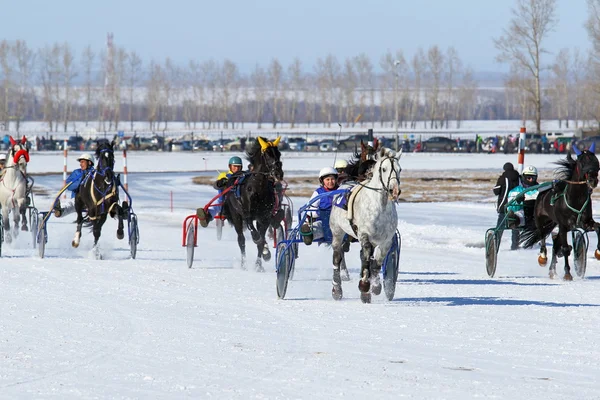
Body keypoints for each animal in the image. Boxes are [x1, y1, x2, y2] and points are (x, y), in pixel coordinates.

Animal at [221, 136, 284, 270]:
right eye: (267, 154)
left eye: (279, 154)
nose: (278, 173)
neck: (258, 188)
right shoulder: (247, 214)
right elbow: (256, 235)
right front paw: (259, 242)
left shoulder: (264, 217)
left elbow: (261, 241)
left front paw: (259, 264)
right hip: (236, 215)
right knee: (241, 240)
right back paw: (243, 264)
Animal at [328, 148, 404, 304]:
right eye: (384, 169)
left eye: (400, 169)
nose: (395, 191)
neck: (380, 206)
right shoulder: (364, 235)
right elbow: (367, 256)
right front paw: (364, 286)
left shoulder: (386, 240)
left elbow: (377, 262)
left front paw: (374, 286)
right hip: (337, 232)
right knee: (337, 256)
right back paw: (336, 289)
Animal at [520, 143, 600, 278]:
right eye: (582, 162)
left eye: (596, 160)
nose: (593, 180)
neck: (576, 198)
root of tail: (542, 192)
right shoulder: (563, 225)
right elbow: (565, 249)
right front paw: (567, 274)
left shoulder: (585, 222)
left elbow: (598, 227)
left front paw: (598, 252)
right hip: (541, 221)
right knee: (543, 238)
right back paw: (543, 258)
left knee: (555, 244)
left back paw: (552, 270)